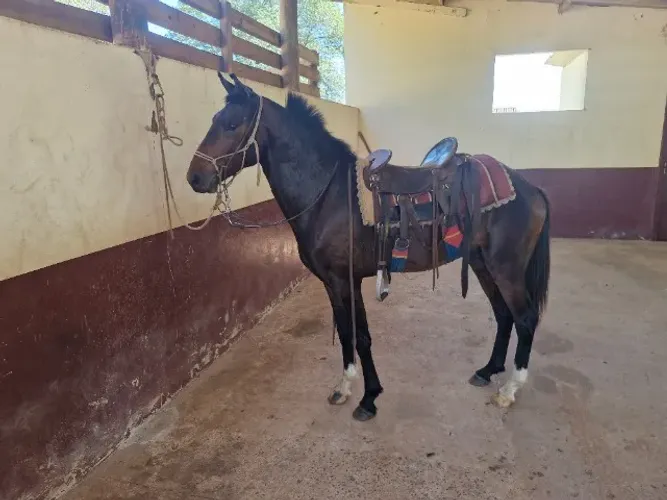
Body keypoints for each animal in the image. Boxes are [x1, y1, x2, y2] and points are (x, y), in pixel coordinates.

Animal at [186, 73, 551, 421]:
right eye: (215, 119)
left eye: (232, 124)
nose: (195, 178)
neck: (329, 194)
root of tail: (528, 187)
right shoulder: (332, 283)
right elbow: (348, 334)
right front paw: (345, 388)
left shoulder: (347, 280)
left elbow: (361, 336)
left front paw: (369, 398)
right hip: (481, 263)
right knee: (504, 315)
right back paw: (488, 370)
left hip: (506, 267)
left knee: (525, 318)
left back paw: (510, 389)